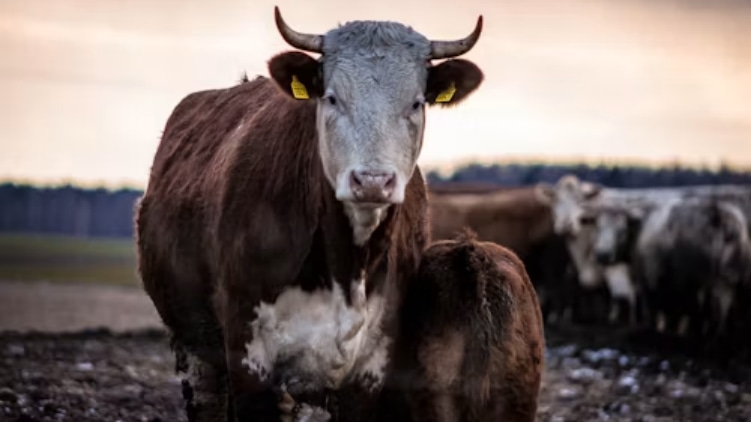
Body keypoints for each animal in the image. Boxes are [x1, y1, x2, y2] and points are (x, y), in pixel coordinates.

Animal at [134, 7, 484, 422]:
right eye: (332, 98)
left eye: (416, 103)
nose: (372, 181)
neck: (346, 263)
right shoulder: (248, 356)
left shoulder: (371, 368)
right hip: (192, 345)